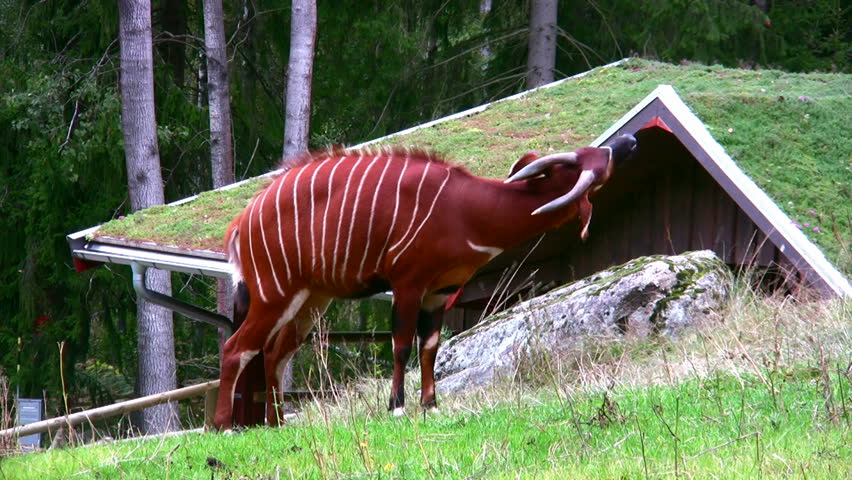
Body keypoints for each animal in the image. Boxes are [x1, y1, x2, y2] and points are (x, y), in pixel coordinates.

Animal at [213, 134, 638, 429]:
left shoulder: (439, 292)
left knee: (274, 352)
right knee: (237, 348)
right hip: (274, 293)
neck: (467, 209)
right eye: (586, 162)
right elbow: (402, 345)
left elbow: (430, 346)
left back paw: (277, 424)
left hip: (311, 299)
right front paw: (397, 407)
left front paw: (431, 405)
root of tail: (240, 224)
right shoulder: (408, 282)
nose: (629, 141)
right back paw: (224, 427)